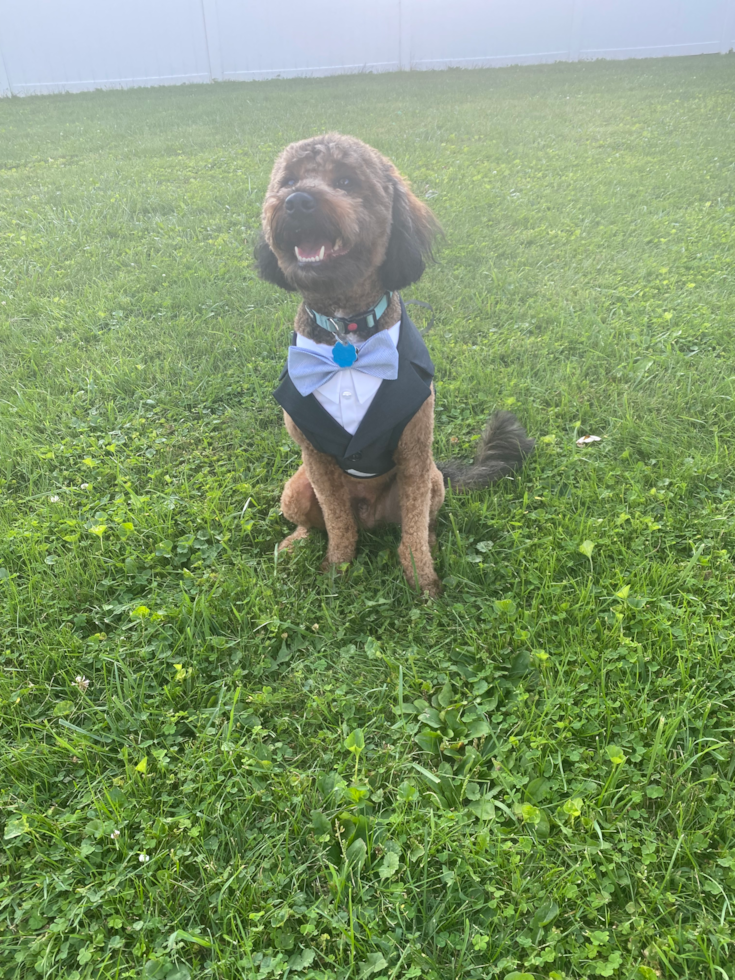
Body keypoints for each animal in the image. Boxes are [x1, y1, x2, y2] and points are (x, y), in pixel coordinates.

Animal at [256, 133, 532, 592]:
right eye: (288, 180)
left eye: (346, 181)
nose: (296, 201)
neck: (345, 328)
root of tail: (369, 515)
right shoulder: (315, 458)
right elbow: (337, 524)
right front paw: (337, 568)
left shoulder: (415, 454)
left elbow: (414, 532)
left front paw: (424, 582)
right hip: (295, 488)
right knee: (317, 523)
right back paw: (298, 543)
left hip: (433, 480)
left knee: (421, 523)